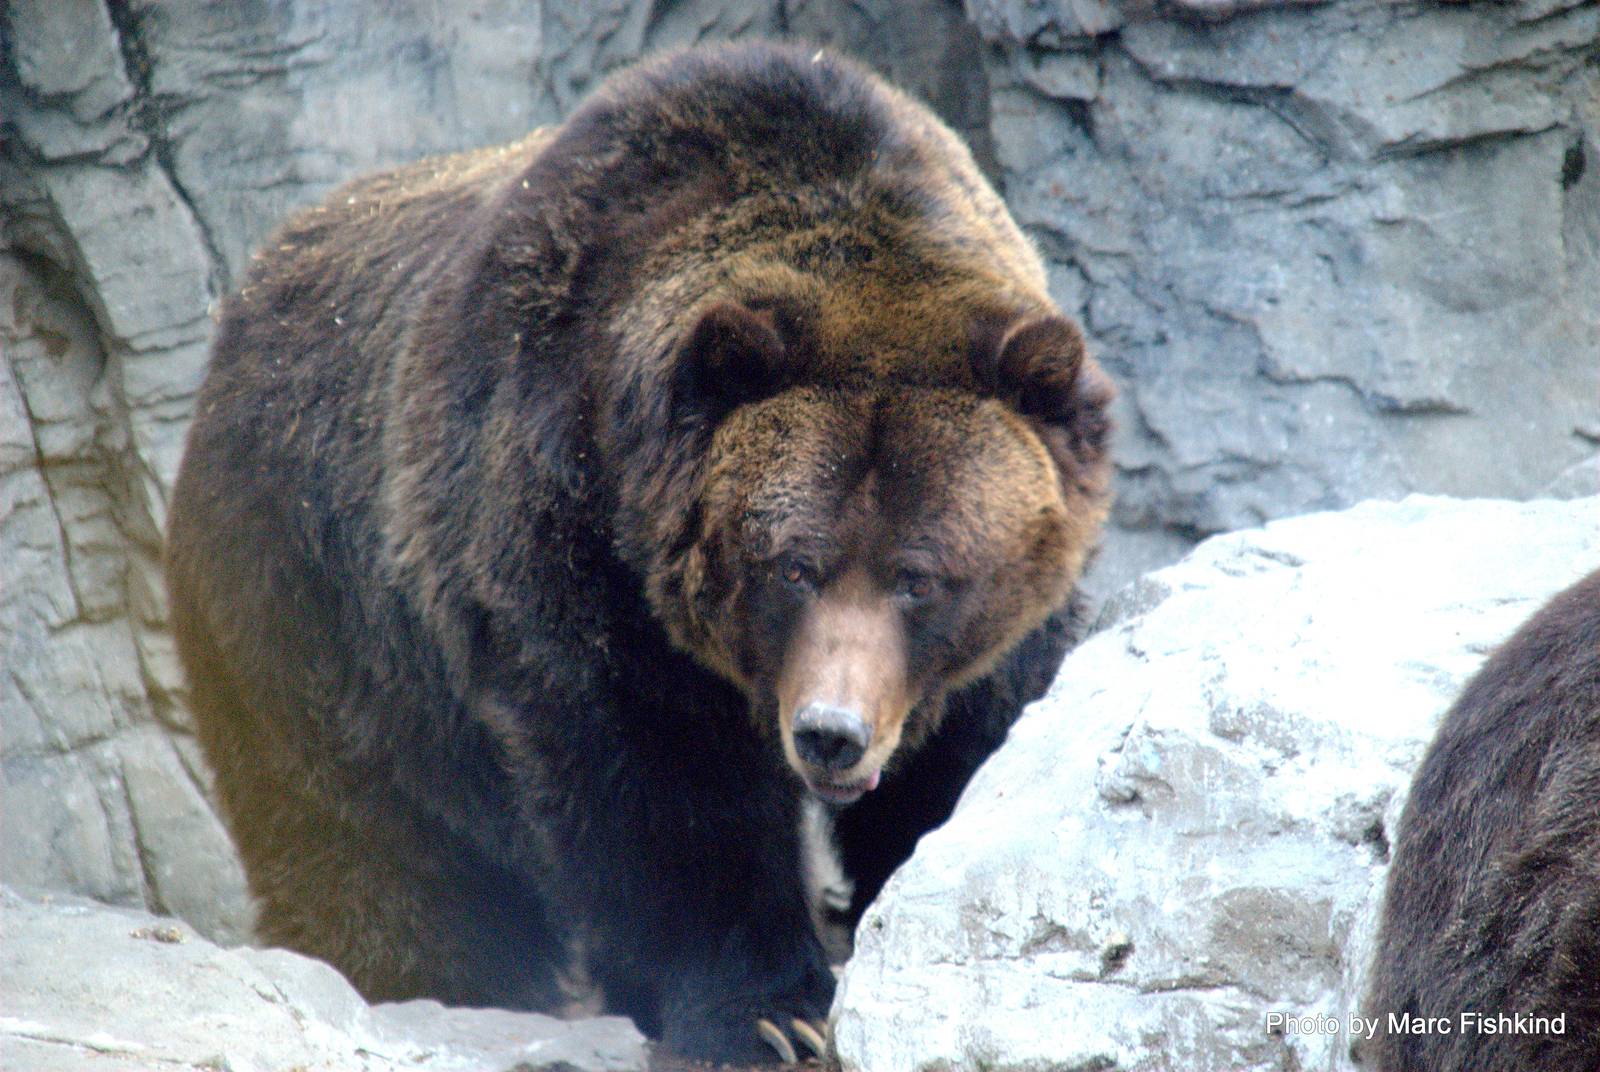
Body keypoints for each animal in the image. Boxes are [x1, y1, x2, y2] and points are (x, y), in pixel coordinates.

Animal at [165, 42, 1114, 1065]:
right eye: (792, 566)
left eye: (918, 577)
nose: (831, 732)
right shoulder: (572, 550)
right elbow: (662, 801)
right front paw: (765, 1014)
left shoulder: (987, 652)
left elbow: (961, 764)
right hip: (310, 617)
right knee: (374, 850)